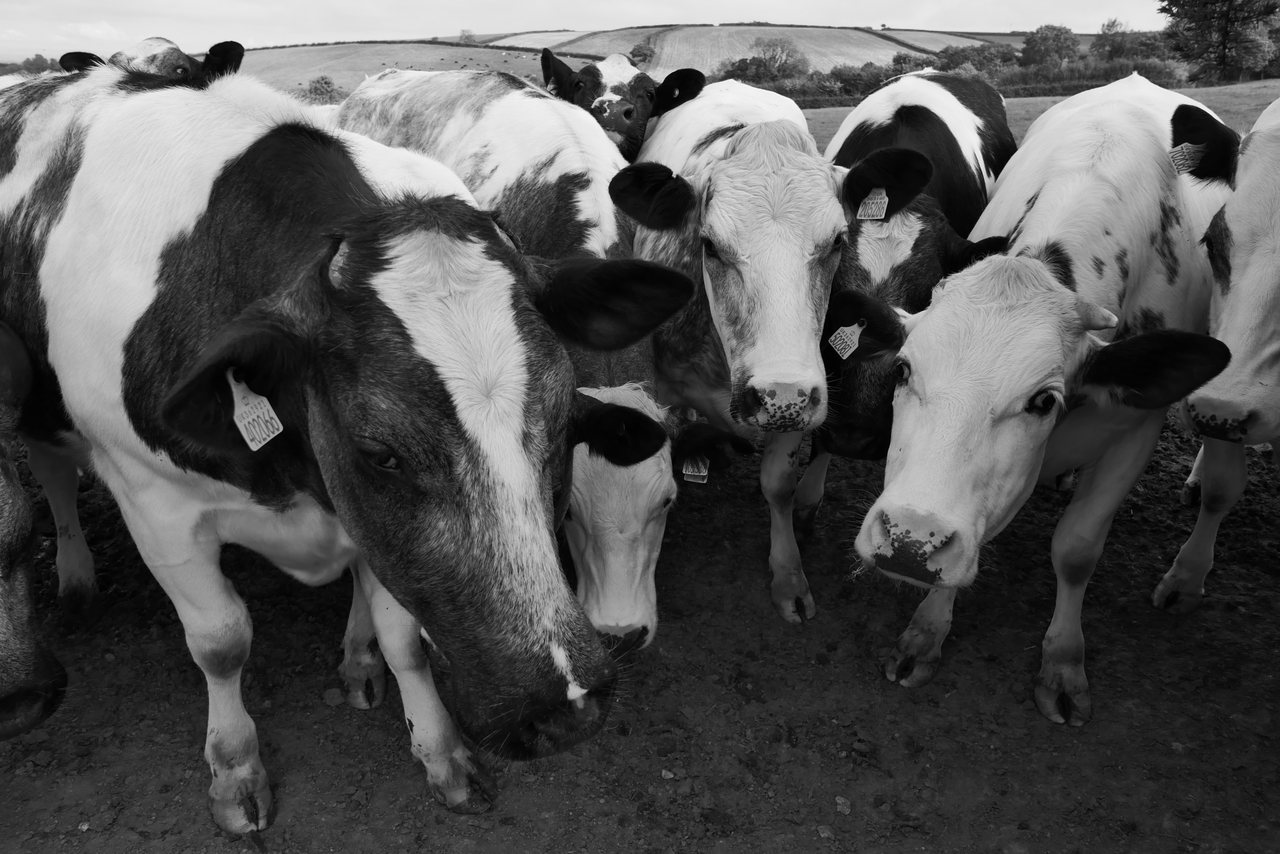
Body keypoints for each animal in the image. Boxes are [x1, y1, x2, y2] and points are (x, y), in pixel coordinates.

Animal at [0, 67, 692, 830]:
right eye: (380, 452)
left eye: (565, 421)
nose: (567, 705)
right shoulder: (154, 505)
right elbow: (220, 642)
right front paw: (235, 766)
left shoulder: (373, 531)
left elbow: (403, 638)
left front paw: (439, 749)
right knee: (53, 475)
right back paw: (75, 575)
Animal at [852, 74, 1237, 725]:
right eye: (904, 370)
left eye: (1041, 401)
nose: (909, 542)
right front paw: (926, 633)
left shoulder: (1136, 424)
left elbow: (1077, 550)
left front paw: (1062, 661)